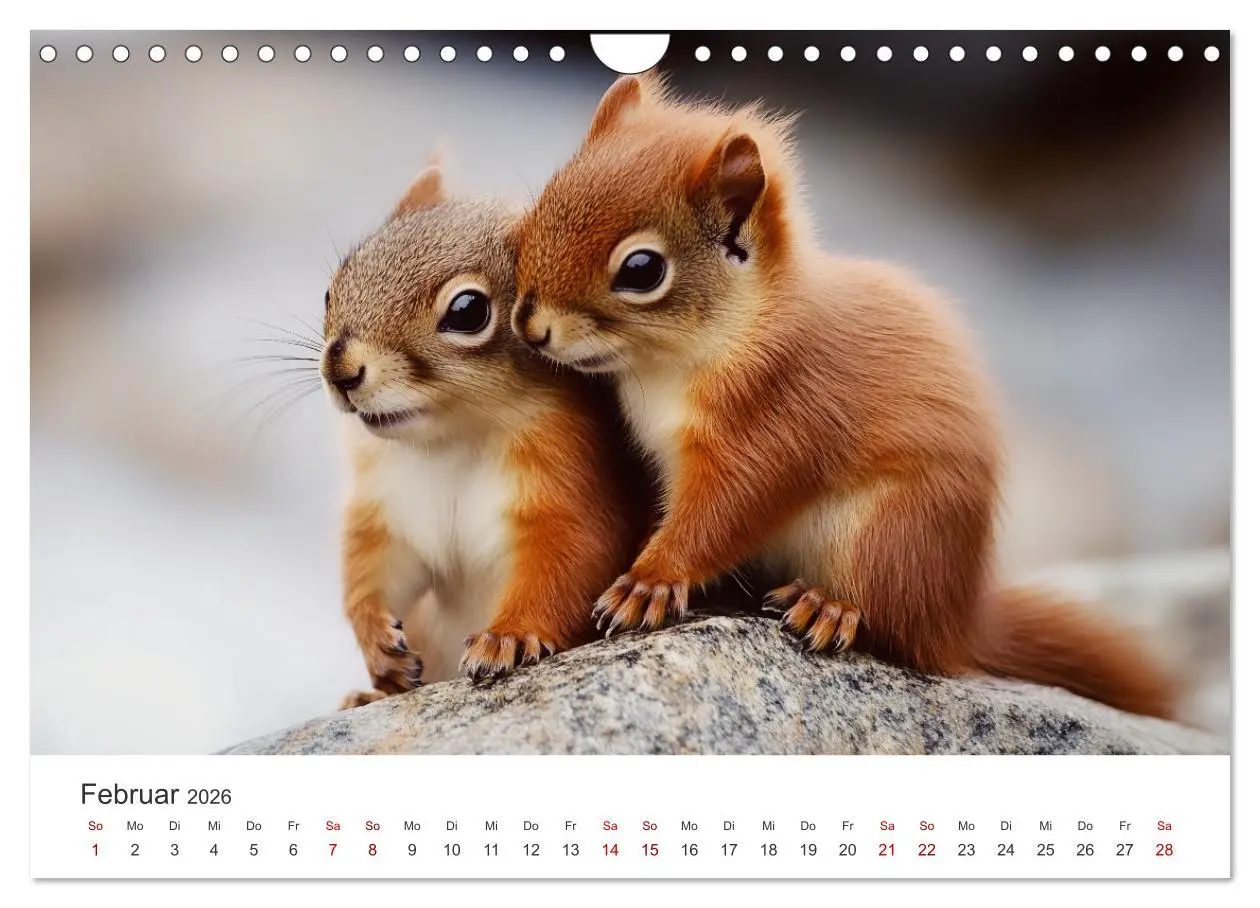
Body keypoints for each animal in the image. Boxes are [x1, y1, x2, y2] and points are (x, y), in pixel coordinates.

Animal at [321, 159, 648, 708]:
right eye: (332, 286)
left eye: (468, 311)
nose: (340, 371)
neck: (451, 440)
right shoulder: (388, 508)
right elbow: (371, 570)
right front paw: (377, 645)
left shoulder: (573, 488)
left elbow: (567, 565)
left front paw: (507, 638)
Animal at [509, 74, 1178, 720]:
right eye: (541, 204)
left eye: (642, 270)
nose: (529, 323)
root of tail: (960, 621)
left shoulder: (780, 415)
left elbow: (727, 509)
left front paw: (649, 580)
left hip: (893, 530)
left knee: (892, 622)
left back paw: (829, 607)